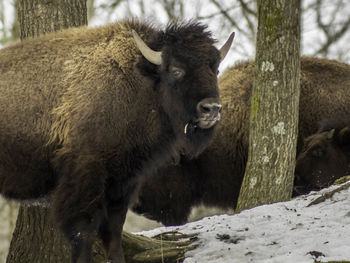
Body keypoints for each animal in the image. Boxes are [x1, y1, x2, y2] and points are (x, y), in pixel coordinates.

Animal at [0, 20, 235, 263]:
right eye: (176, 70)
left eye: (215, 69)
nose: (211, 109)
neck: (140, 81)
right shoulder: (86, 176)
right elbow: (84, 231)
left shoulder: (124, 180)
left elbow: (113, 230)